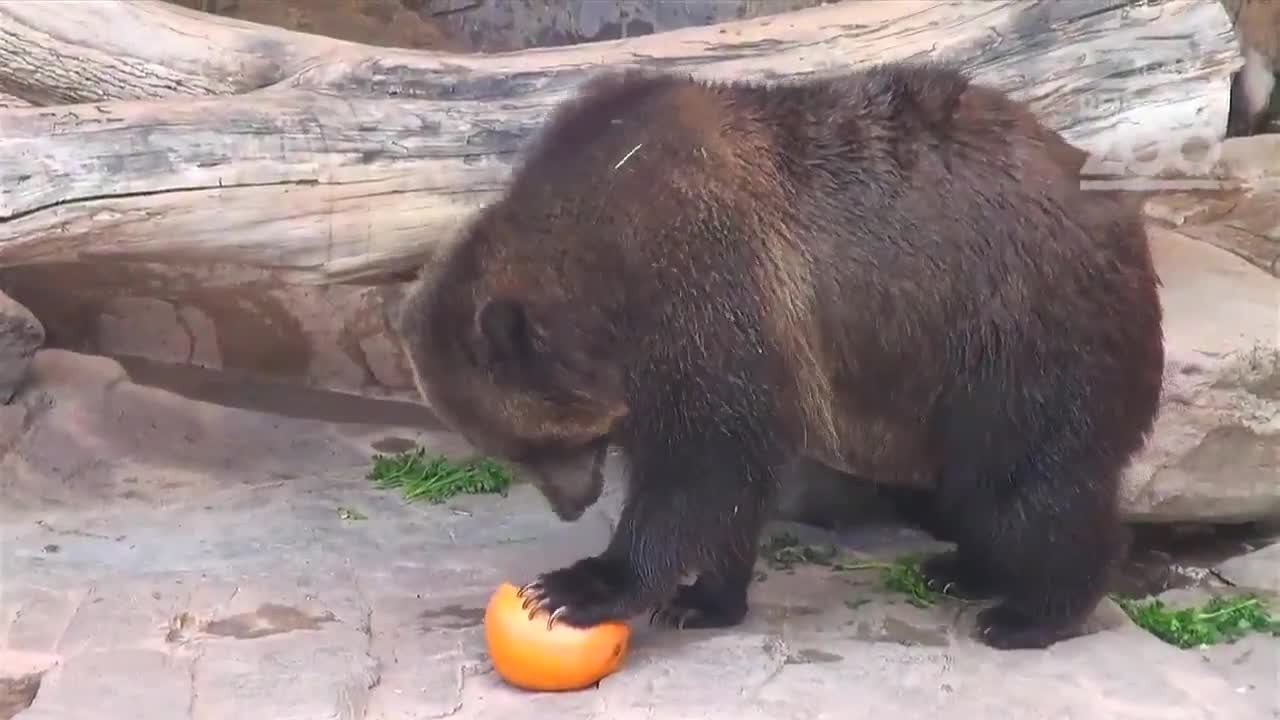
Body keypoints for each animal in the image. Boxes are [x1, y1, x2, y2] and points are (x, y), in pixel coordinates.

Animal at [399, 61, 1172, 648]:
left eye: (530, 443)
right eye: (509, 449)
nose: (570, 503)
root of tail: (1122, 212)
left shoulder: (709, 297)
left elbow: (702, 469)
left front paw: (578, 586)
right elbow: (729, 484)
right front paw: (703, 599)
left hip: (1018, 329)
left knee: (1029, 477)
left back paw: (1027, 613)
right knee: (974, 485)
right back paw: (962, 568)